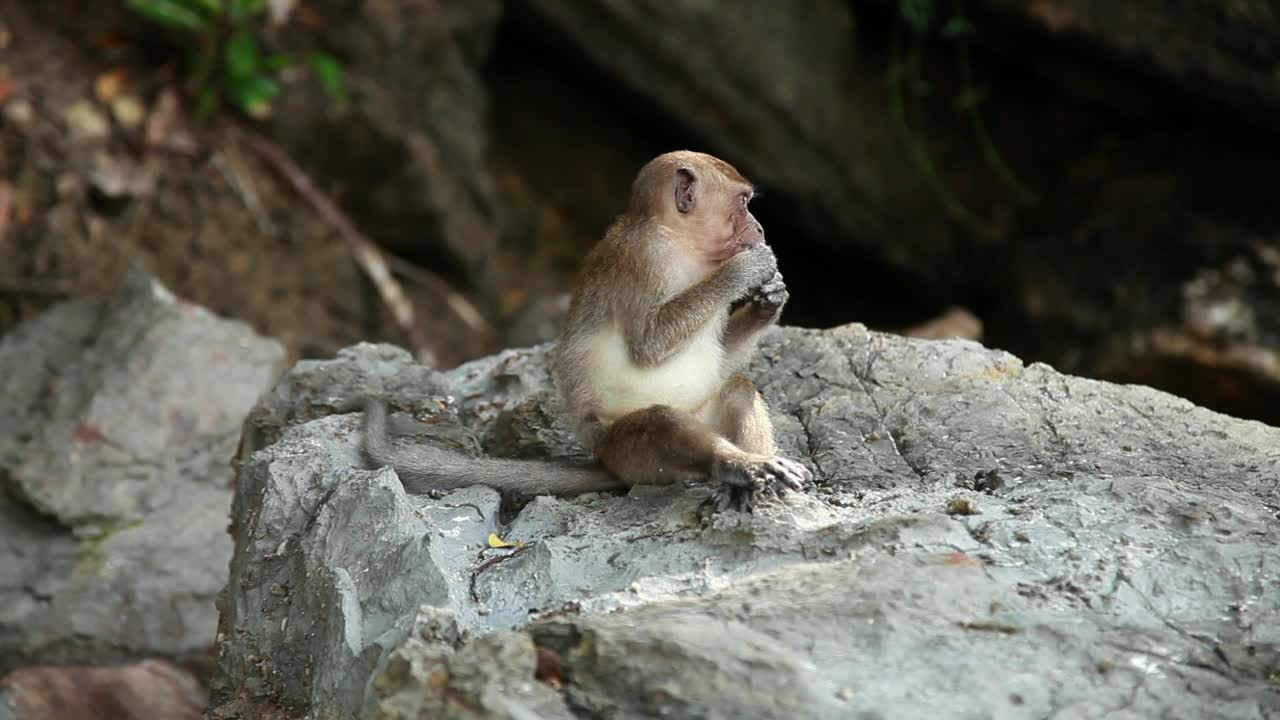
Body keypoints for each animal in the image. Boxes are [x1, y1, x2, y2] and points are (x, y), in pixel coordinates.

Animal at [362, 150, 812, 513]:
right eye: (743, 203)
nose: (759, 229)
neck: (681, 243)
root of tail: (605, 460)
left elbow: (721, 363)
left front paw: (769, 300)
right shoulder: (645, 259)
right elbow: (649, 344)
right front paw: (746, 271)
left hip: (700, 412)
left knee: (736, 388)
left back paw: (750, 476)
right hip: (632, 454)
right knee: (662, 423)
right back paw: (737, 465)